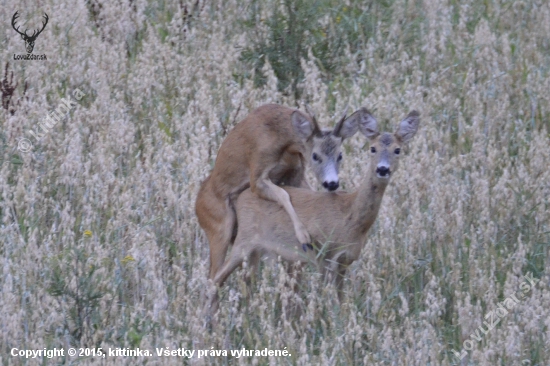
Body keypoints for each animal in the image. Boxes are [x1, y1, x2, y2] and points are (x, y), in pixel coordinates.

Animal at [195, 103, 366, 284]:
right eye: (315, 156)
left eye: (340, 155)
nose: (332, 183)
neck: (283, 141)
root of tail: (197, 207)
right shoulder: (257, 175)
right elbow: (284, 195)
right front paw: (304, 236)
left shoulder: (296, 172)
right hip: (219, 229)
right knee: (213, 275)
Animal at [210, 108, 422, 308]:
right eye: (372, 148)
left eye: (397, 150)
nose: (382, 169)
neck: (350, 217)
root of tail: (241, 196)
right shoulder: (324, 258)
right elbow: (331, 302)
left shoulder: (345, 262)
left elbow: (341, 303)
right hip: (243, 242)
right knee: (215, 280)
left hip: (257, 252)